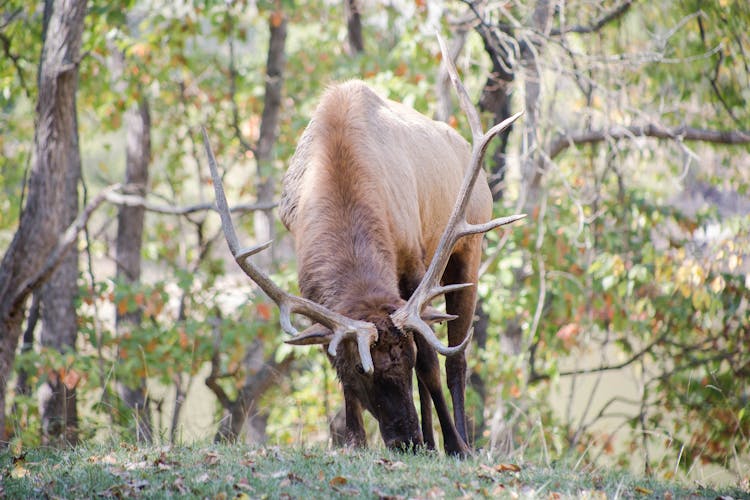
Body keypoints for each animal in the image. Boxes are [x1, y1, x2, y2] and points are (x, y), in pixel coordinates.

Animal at [203, 37, 524, 456]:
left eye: (406, 359)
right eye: (361, 368)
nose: (406, 439)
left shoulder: (414, 260)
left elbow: (431, 363)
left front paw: (453, 444)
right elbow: (331, 350)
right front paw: (353, 440)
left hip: (469, 246)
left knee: (457, 358)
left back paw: (459, 440)